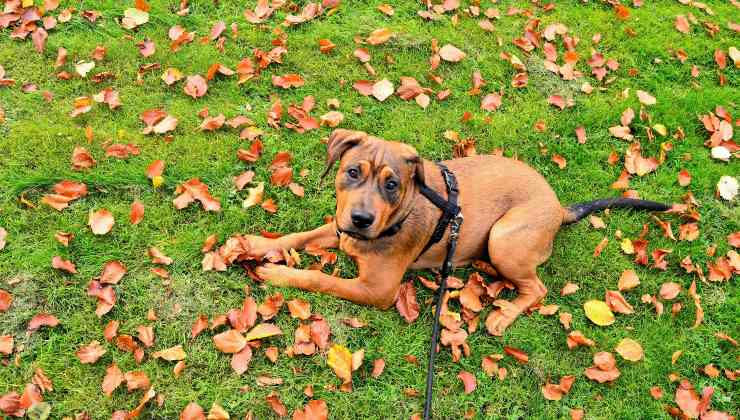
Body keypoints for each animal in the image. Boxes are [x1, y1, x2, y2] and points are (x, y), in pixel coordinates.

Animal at [250, 130, 672, 336]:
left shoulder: (378, 290)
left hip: (504, 238)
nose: (361, 219)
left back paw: (504, 316)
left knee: (537, 289)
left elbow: (321, 279)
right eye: (353, 172)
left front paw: (278, 273)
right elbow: (299, 236)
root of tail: (557, 207)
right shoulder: (338, 229)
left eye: (392, 184)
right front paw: (256, 243)